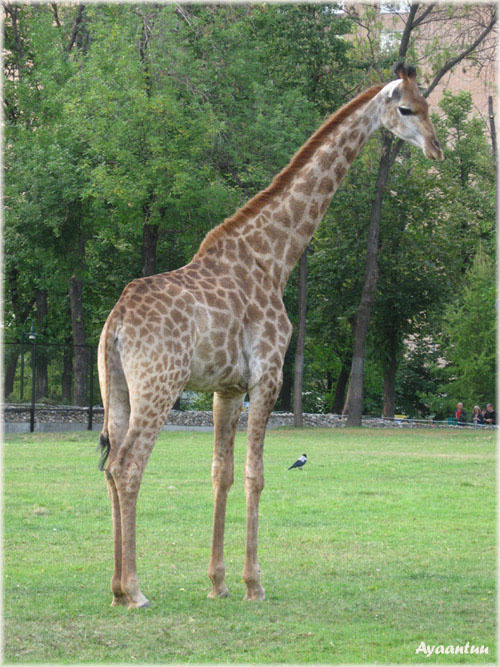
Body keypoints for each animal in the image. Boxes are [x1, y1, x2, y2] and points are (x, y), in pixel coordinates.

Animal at [98, 63, 443, 609]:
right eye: (406, 108)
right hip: (159, 385)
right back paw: (135, 590)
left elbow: (220, 473)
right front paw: (253, 584)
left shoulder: (225, 388)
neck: (275, 257)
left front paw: (217, 583)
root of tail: (115, 324)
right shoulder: (268, 375)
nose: (436, 148)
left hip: (117, 388)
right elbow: (255, 475)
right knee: (130, 466)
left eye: (430, 106)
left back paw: (116, 590)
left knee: (112, 466)